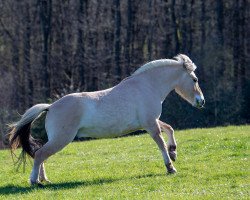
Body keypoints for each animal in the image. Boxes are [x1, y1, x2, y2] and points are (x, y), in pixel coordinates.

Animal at [8, 53, 204, 186]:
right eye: (194, 79)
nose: (201, 101)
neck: (147, 86)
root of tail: (51, 106)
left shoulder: (150, 122)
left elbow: (169, 128)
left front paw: (174, 152)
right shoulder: (150, 124)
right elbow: (161, 143)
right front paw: (170, 167)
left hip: (57, 139)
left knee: (41, 154)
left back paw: (44, 179)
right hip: (62, 139)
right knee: (40, 154)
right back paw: (35, 181)